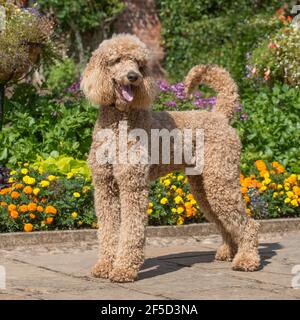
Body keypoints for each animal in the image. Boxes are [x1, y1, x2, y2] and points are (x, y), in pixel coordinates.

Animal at [80, 33, 260, 282]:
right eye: (116, 60)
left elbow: (131, 230)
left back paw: (247, 260)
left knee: (248, 224)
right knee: (225, 221)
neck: (120, 121)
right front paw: (105, 266)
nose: (133, 77)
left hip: (220, 181)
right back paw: (229, 252)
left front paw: (124, 269)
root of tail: (219, 116)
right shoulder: (105, 187)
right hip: (203, 187)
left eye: (139, 64)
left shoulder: (132, 185)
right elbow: (108, 231)